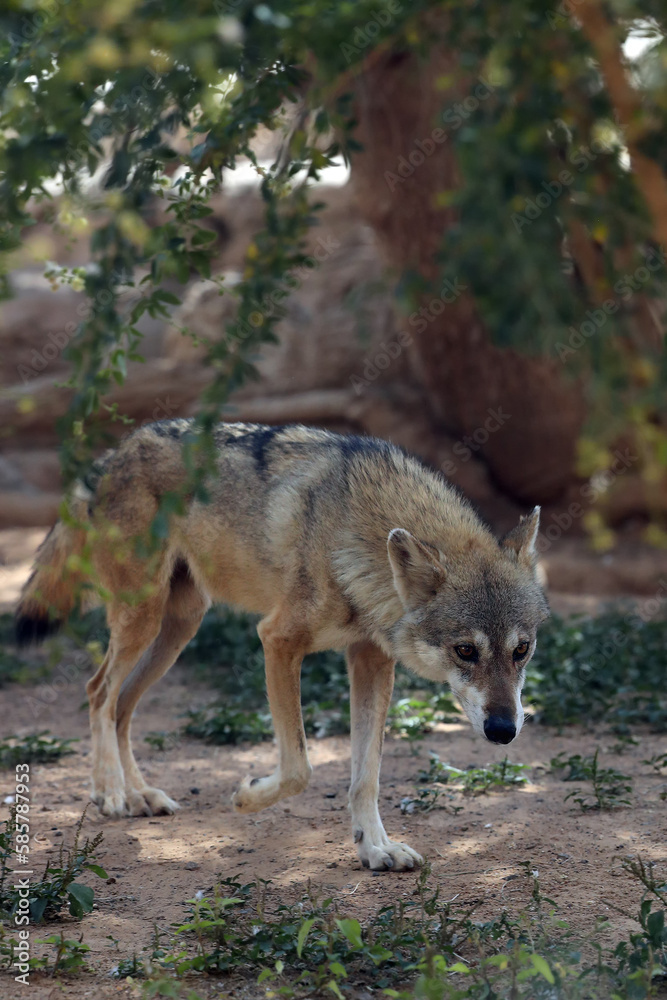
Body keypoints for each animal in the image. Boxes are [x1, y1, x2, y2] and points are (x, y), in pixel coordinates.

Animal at [17, 418, 548, 872]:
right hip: (142, 620)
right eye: (465, 651)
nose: (504, 730)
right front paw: (246, 796)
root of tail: (113, 453)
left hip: (178, 630)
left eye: (521, 650)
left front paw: (375, 848)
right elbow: (300, 769)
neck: (356, 535)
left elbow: (366, 775)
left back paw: (140, 795)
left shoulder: (371, 660)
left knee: (122, 705)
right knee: (98, 693)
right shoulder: (277, 640)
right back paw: (110, 794)